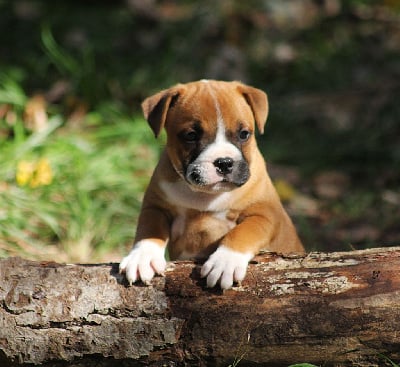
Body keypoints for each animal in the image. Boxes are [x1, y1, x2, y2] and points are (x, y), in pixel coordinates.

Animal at [119, 80, 304, 290]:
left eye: (244, 134)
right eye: (191, 135)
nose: (224, 162)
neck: (204, 196)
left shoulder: (265, 214)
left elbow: (243, 231)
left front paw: (226, 261)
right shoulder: (156, 207)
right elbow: (150, 230)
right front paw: (142, 257)